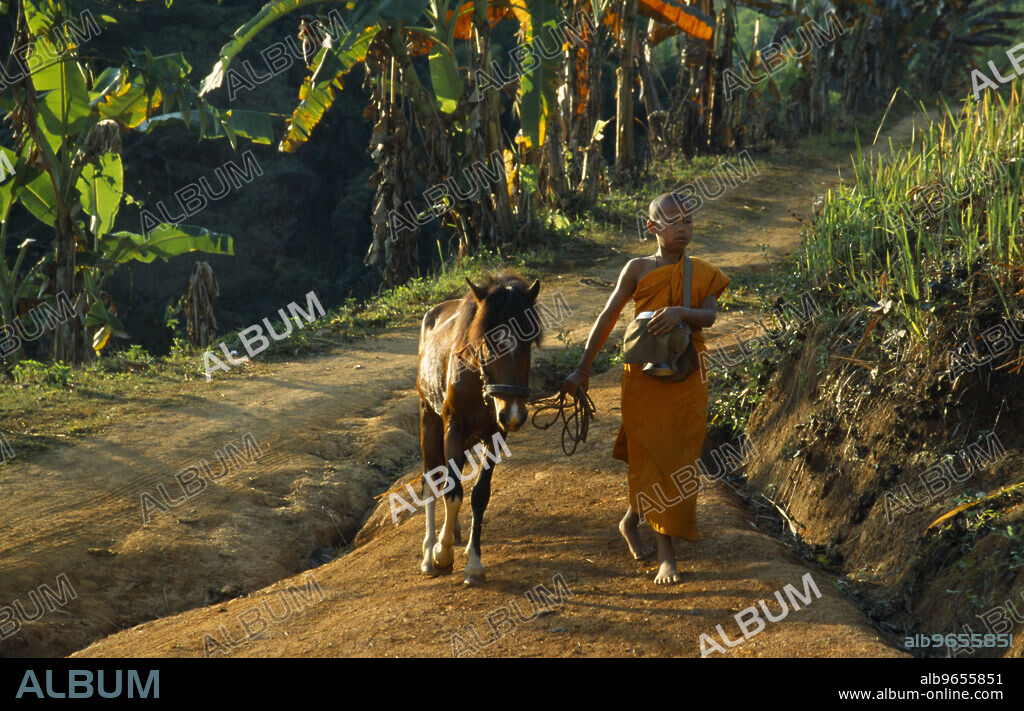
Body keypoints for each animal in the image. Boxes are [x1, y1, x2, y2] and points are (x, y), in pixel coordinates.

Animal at [415, 272, 544, 586]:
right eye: (490, 342)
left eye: (528, 341)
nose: (513, 413)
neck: (477, 381)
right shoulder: (453, 427)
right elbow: (452, 492)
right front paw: (442, 553)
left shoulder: (495, 435)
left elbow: (478, 495)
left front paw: (473, 562)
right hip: (429, 419)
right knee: (431, 480)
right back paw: (428, 553)